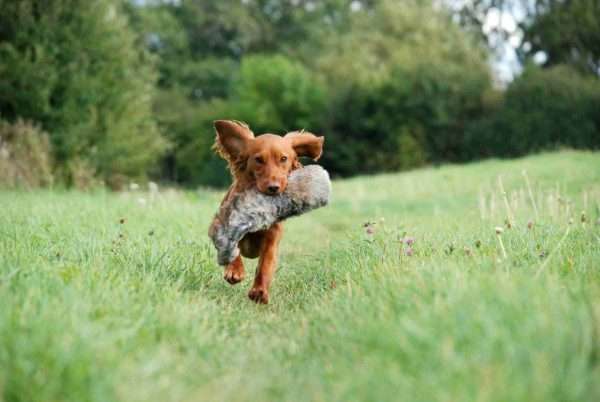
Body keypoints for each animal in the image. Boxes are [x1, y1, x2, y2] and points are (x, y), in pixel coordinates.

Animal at [210, 121, 324, 304]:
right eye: (258, 159)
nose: (273, 187)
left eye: (283, 158)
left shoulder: (272, 237)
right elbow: (231, 247)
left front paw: (259, 291)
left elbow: (266, 264)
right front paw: (234, 271)